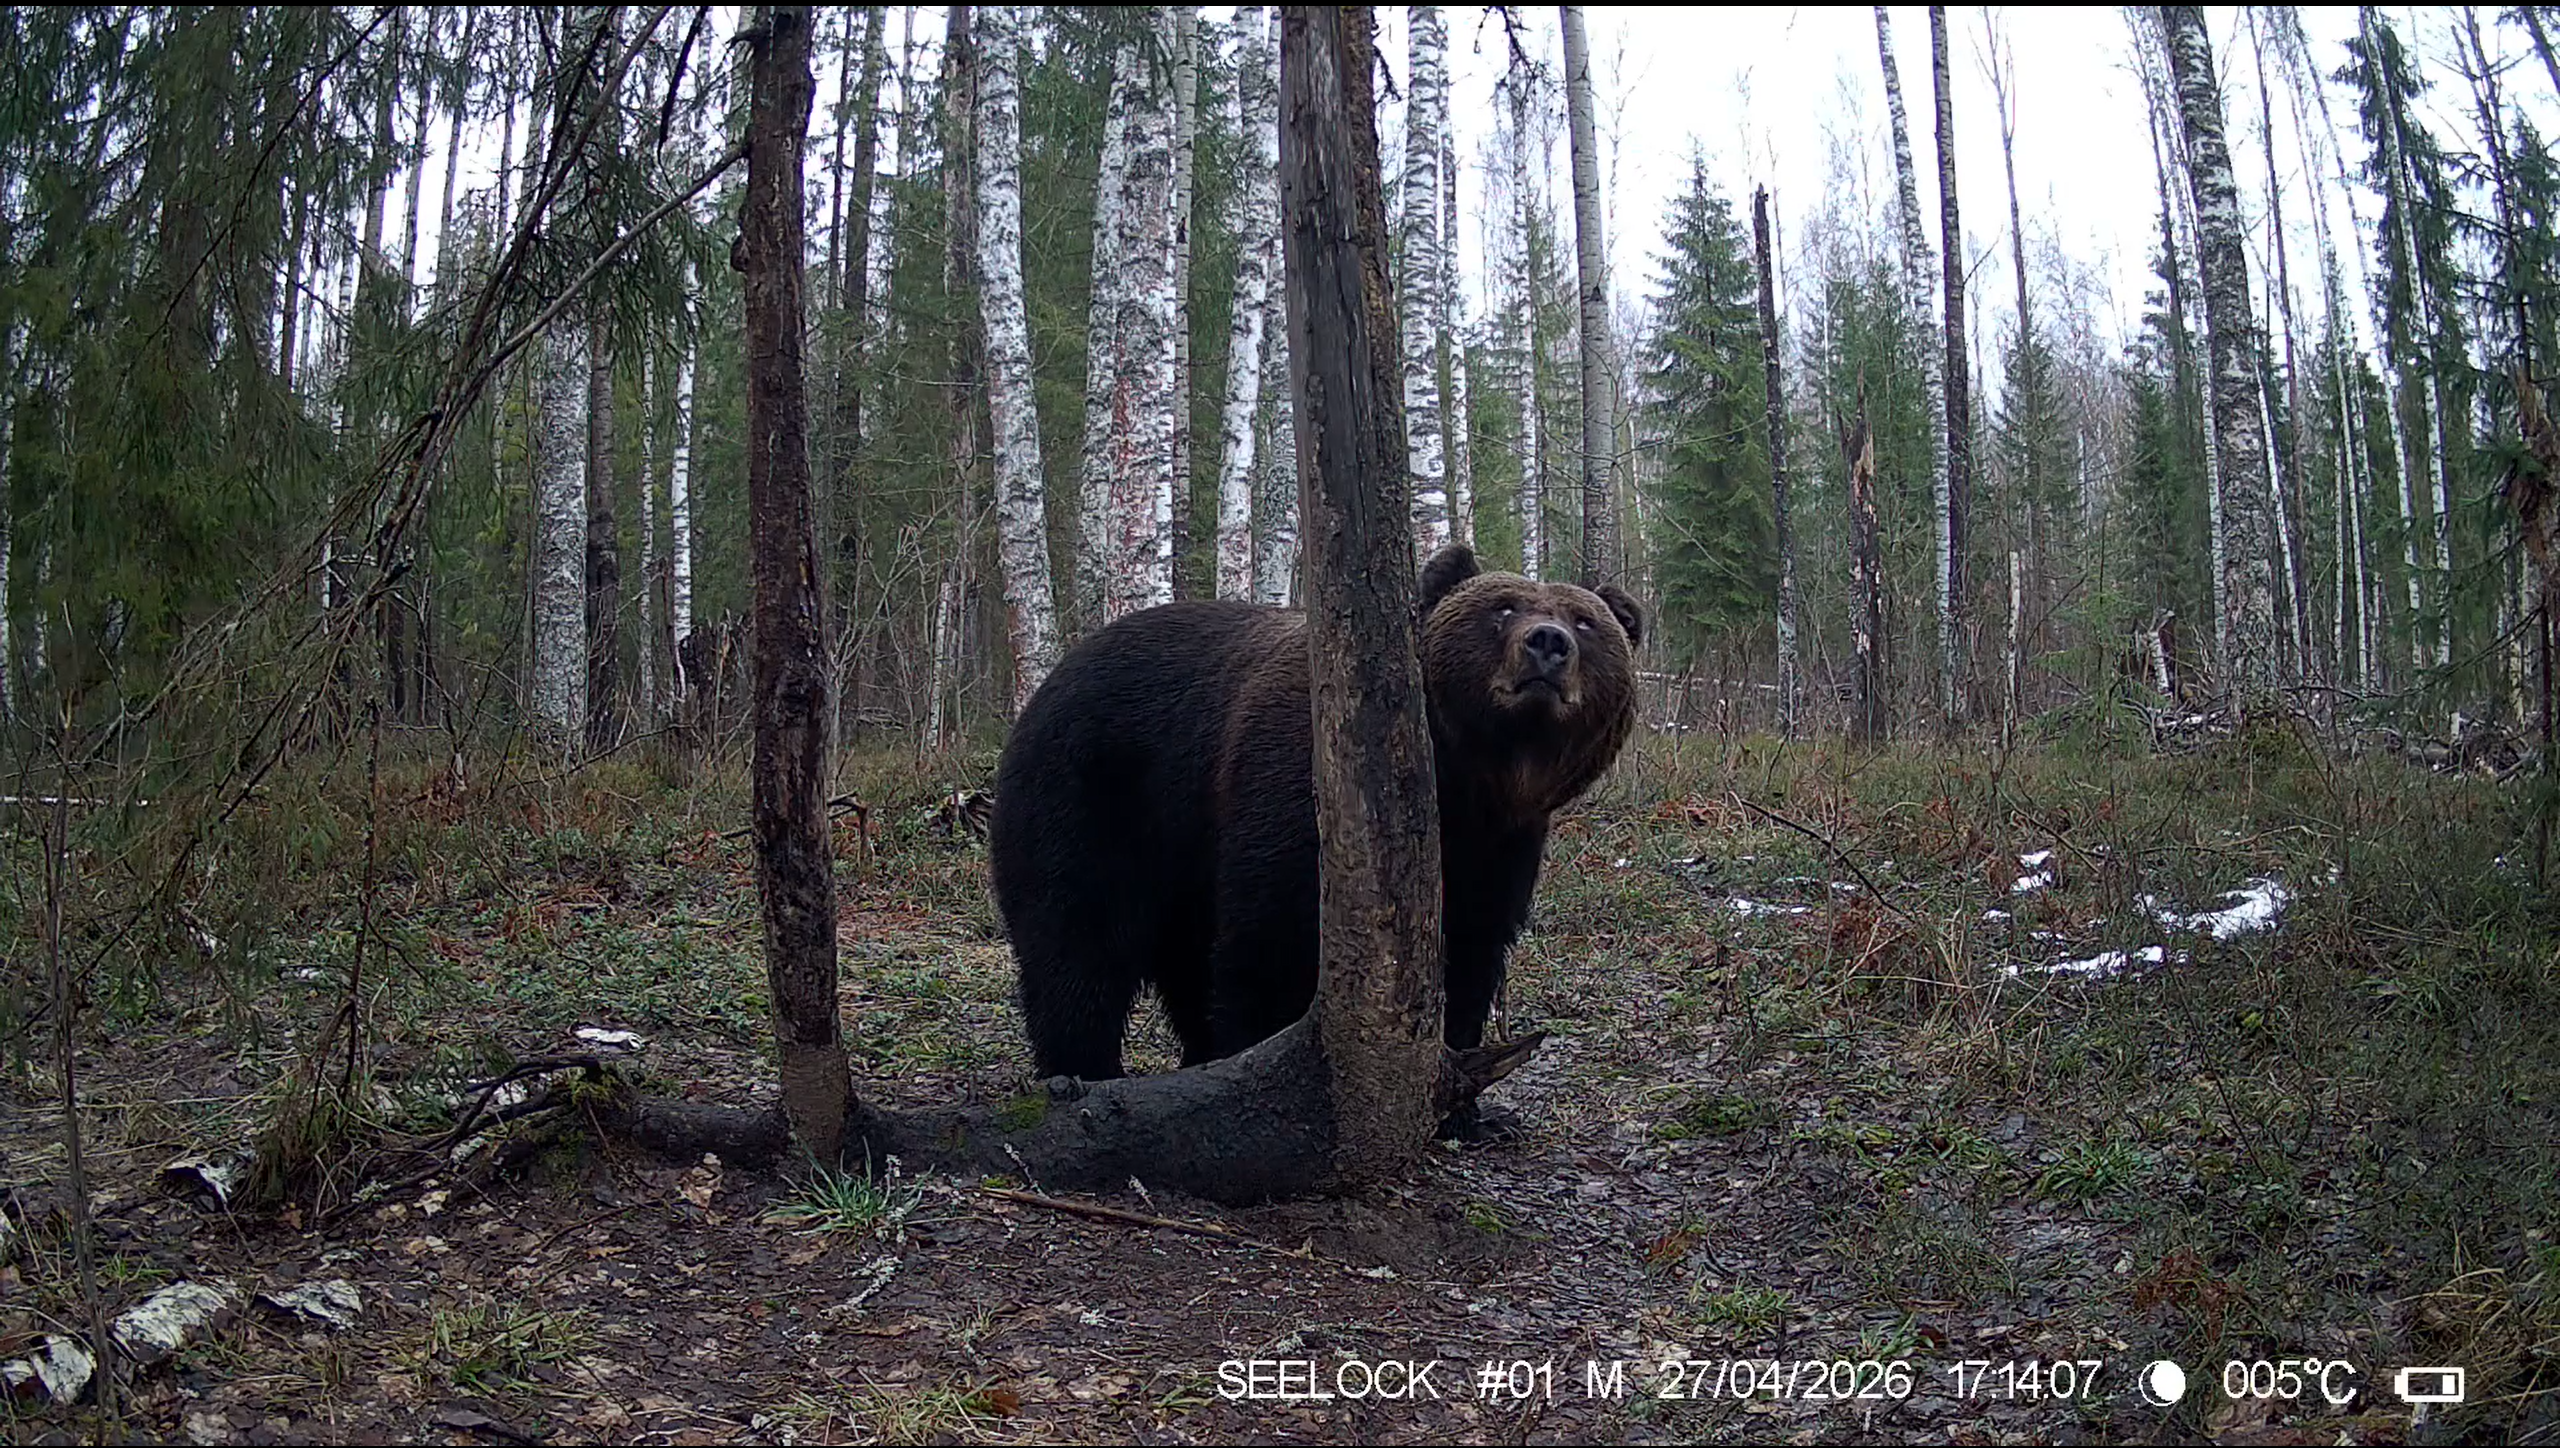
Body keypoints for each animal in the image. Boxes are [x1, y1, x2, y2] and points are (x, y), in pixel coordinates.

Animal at [989, 543, 1643, 1093]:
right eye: (1502, 608)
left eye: (1586, 622)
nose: (1548, 643)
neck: (1463, 776)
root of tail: (1053, 677)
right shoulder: (1297, 789)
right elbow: (1269, 941)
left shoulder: (1499, 843)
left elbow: (1471, 944)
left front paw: (1459, 1090)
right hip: (1093, 792)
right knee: (1077, 936)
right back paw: (1081, 1072)